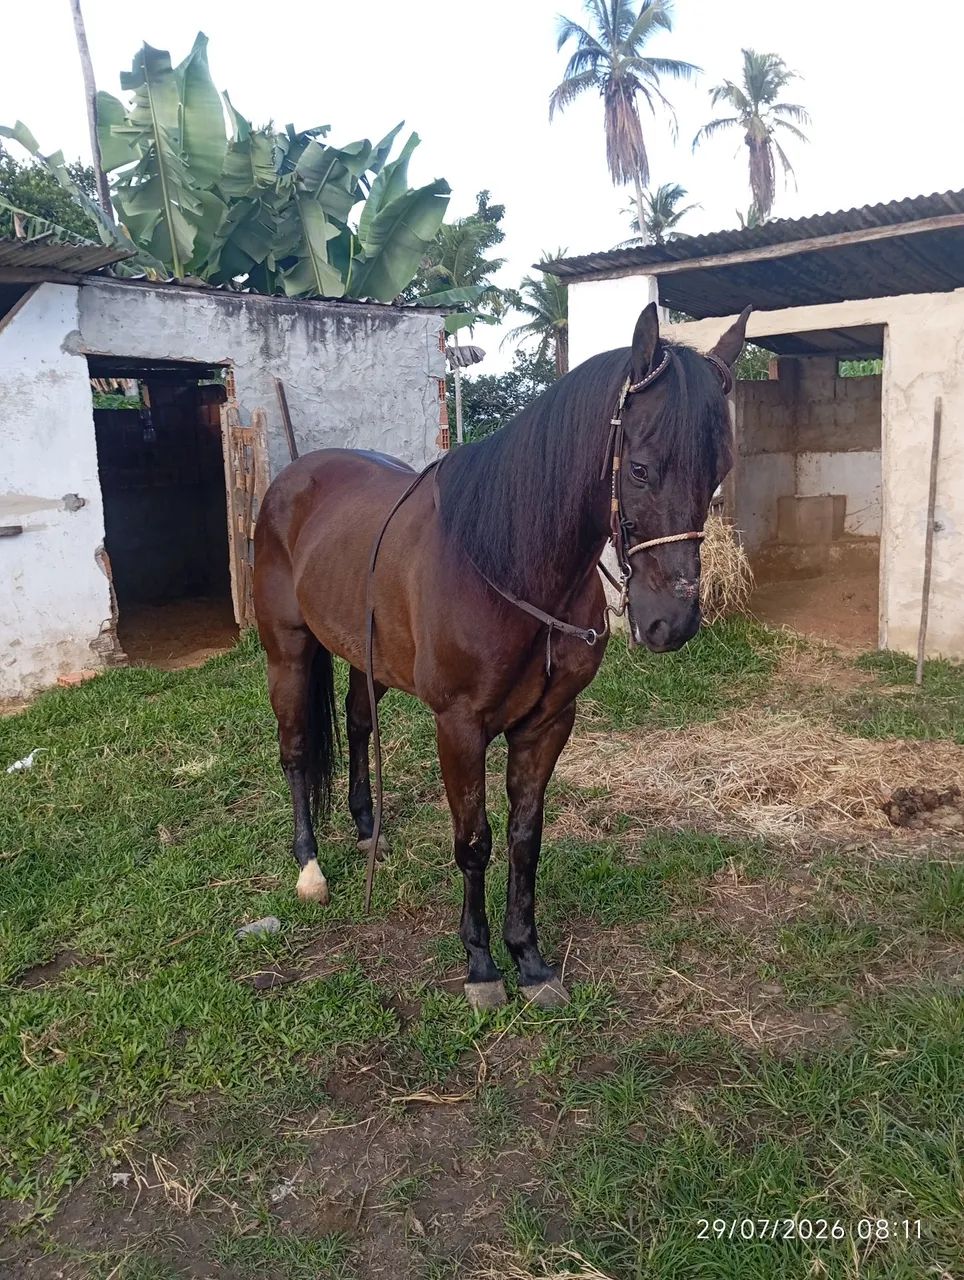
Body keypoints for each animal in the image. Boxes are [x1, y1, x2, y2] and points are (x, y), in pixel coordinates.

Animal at [253, 301, 749, 1009]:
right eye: (641, 468)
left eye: (718, 472)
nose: (671, 623)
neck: (507, 562)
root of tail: (293, 478)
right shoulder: (459, 727)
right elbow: (474, 842)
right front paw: (482, 966)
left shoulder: (547, 724)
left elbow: (524, 837)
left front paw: (530, 960)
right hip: (287, 651)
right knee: (295, 751)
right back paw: (310, 868)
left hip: (364, 656)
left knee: (356, 724)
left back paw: (368, 828)